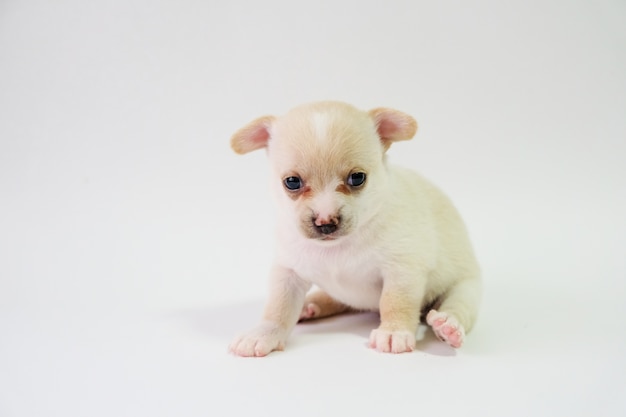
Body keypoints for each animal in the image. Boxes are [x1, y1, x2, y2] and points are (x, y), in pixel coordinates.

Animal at [228, 100, 478, 354]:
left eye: (357, 178)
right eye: (292, 182)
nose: (325, 222)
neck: (338, 247)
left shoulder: (401, 271)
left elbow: (396, 302)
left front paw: (394, 331)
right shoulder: (287, 274)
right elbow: (278, 307)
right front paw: (263, 333)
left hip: (465, 289)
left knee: (458, 306)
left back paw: (447, 326)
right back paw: (311, 305)